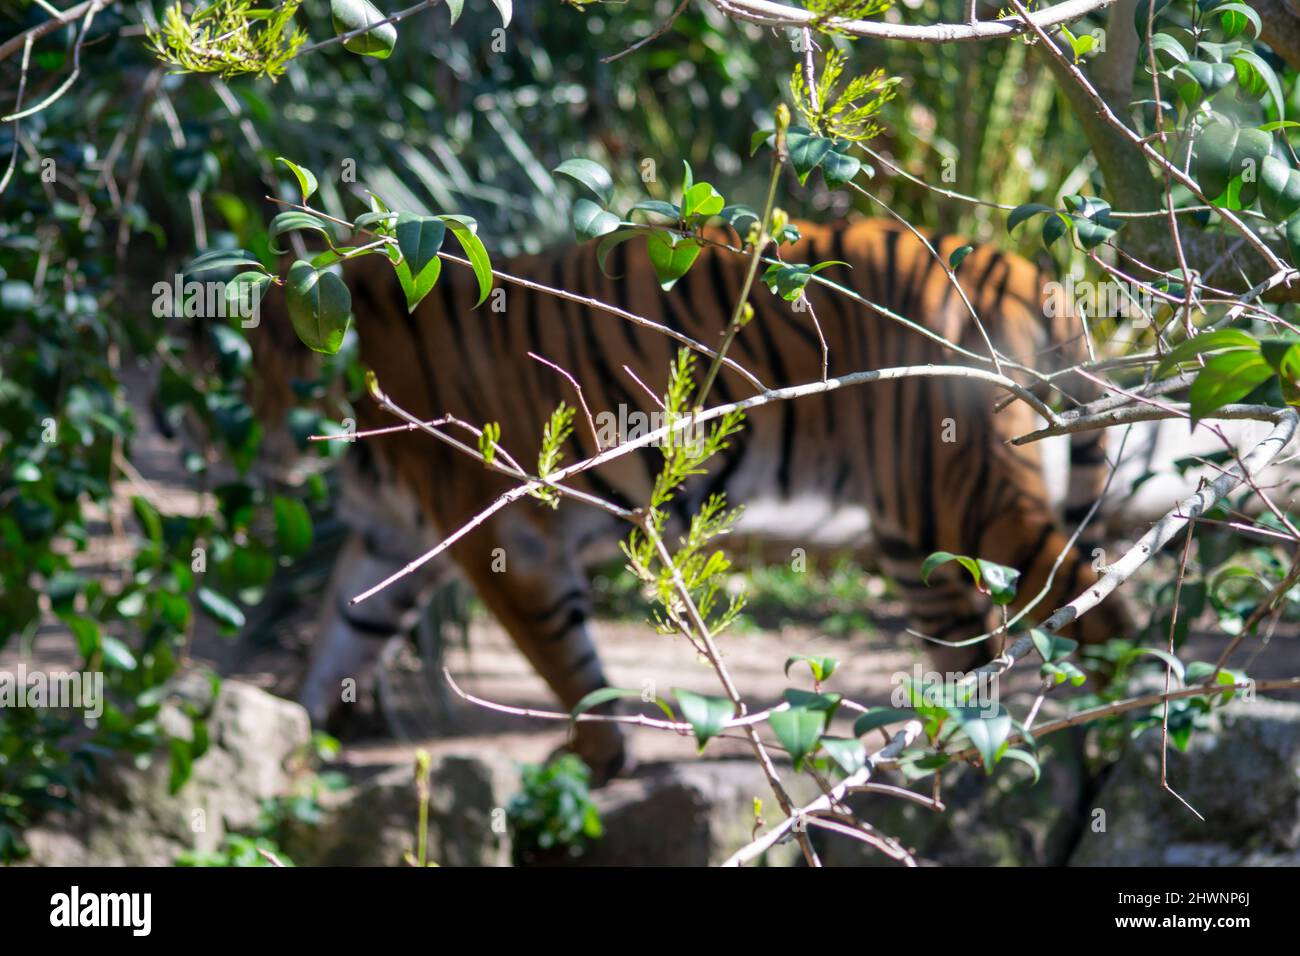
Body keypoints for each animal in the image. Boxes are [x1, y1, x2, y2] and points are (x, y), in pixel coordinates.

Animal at [248, 218, 1133, 785]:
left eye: (251, 366)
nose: (254, 441)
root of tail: (1022, 270)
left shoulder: (498, 535)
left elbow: (562, 656)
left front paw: (597, 761)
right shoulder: (389, 540)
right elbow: (344, 635)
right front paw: (294, 737)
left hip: (964, 495)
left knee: (1091, 598)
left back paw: (1108, 729)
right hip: (918, 538)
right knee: (974, 648)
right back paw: (943, 754)